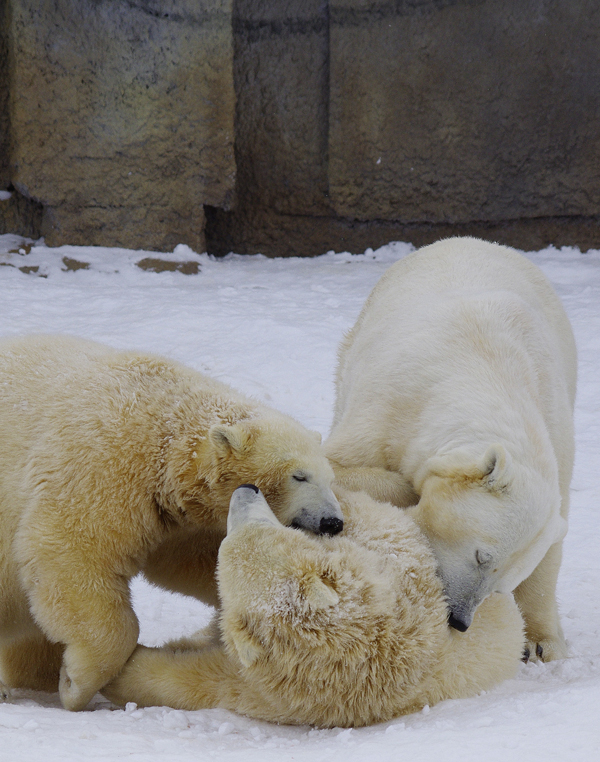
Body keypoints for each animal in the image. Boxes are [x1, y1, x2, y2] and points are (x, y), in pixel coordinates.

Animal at [0, 336, 342, 708]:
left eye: (329, 477)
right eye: (300, 476)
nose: (333, 522)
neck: (168, 426)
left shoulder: (175, 514)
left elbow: (187, 560)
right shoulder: (103, 462)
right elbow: (72, 549)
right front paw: (76, 684)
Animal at [326, 236, 580, 660]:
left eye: (501, 584)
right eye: (481, 556)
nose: (459, 620)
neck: (483, 367)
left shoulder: (556, 432)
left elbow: (551, 543)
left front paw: (542, 642)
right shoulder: (391, 401)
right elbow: (338, 466)